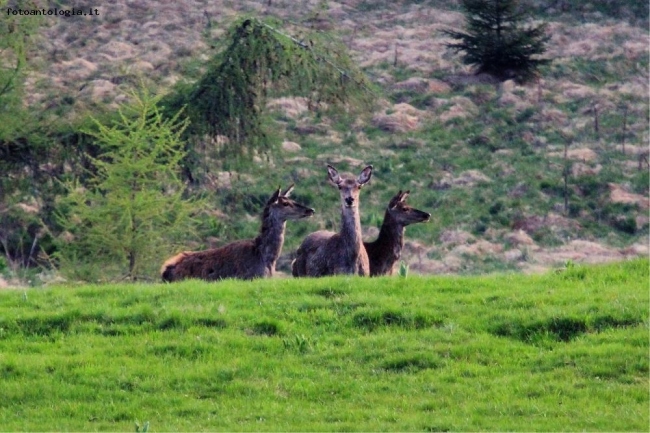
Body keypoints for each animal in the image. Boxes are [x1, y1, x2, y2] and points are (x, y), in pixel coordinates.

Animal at [161, 184, 314, 282]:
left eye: (292, 199)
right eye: (285, 203)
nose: (310, 210)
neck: (266, 258)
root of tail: (165, 272)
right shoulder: (250, 278)